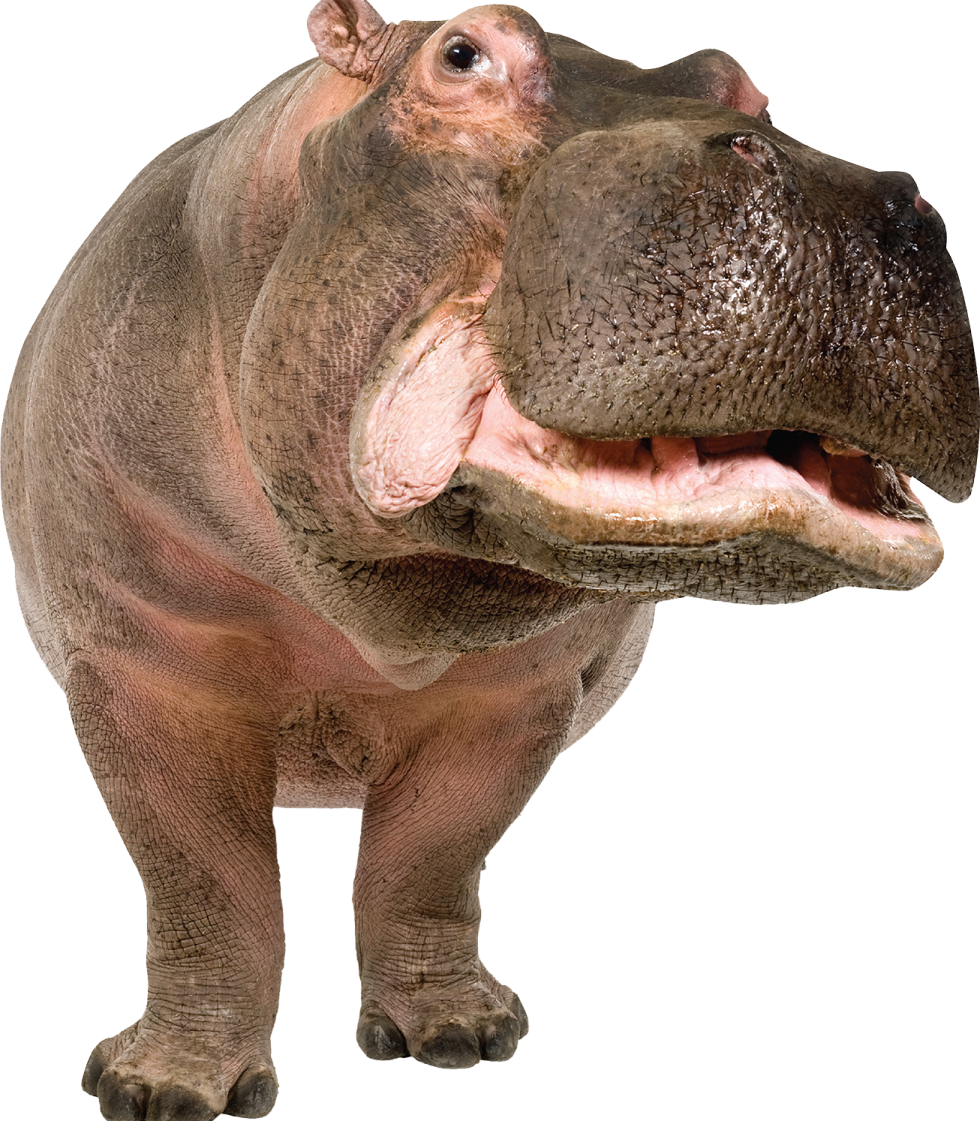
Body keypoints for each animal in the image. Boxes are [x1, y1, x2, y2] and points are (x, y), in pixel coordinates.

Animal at [2, 0, 977, 1115]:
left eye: (745, 85)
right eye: (463, 54)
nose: (846, 193)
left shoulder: (512, 692)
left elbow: (430, 857)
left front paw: (458, 1036)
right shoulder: (147, 662)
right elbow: (205, 884)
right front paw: (161, 1090)